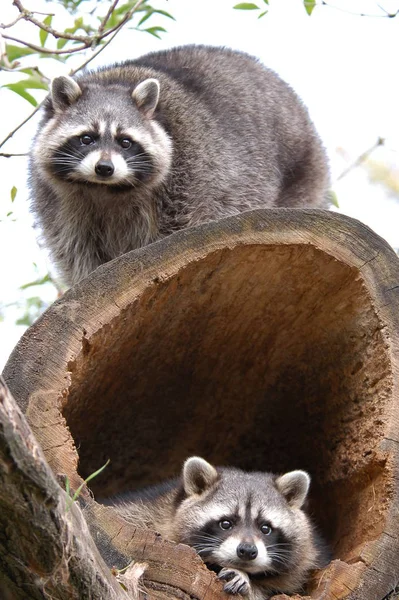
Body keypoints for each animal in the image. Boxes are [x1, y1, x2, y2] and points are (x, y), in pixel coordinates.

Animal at [28, 44, 332, 286]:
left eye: (125, 142)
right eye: (86, 138)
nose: (104, 168)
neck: (105, 190)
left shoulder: (190, 174)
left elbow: (180, 229)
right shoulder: (60, 202)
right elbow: (76, 249)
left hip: (303, 171)